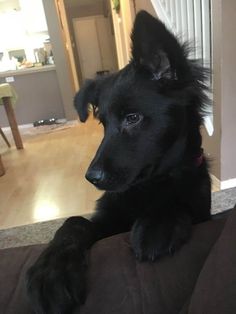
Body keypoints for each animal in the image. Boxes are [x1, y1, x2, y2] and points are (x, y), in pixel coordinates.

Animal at [26, 11, 211, 314]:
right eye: (103, 123)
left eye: (132, 118)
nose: (91, 178)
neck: (147, 187)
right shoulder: (104, 222)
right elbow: (74, 223)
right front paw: (50, 270)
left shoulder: (201, 212)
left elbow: (178, 203)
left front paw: (158, 222)